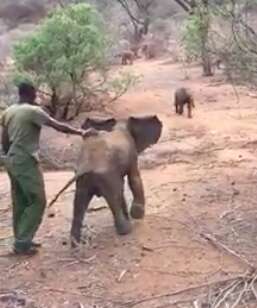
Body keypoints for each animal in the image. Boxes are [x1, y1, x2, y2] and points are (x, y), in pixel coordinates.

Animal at [48, 114, 162, 247]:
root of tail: (87, 165)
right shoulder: (131, 155)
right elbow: (134, 179)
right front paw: (137, 215)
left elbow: (123, 186)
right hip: (105, 176)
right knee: (113, 197)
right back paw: (126, 230)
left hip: (83, 179)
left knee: (79, 203)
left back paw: (75, 244)